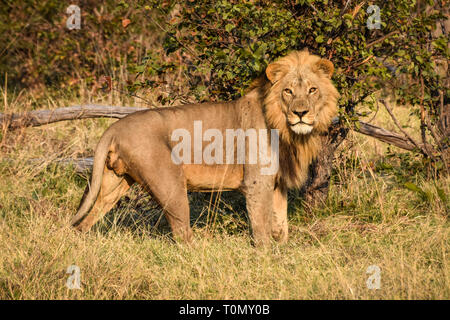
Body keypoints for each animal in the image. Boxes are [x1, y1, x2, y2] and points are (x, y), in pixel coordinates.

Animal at [71, 49, 338, 245]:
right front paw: (266, 256)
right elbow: (262, 225)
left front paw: (281, 249)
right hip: (170, 185)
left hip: (114, 182)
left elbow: (281, 224)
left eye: (313, 90)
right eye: (288, 91)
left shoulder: (277, 183)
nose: (301, 113)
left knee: (87, 219)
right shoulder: (257, 182)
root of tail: (114, 128)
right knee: (181, 233)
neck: (286, 130)